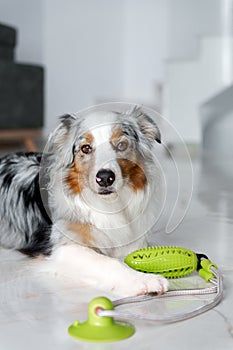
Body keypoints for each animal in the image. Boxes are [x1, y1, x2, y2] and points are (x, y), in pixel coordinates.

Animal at [0, 106, 167, 296]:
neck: (108, 204)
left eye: (122, 145)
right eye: (85, 148)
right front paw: (144, 280)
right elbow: (108, 262)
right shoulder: (63, 248)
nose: (105, 178)